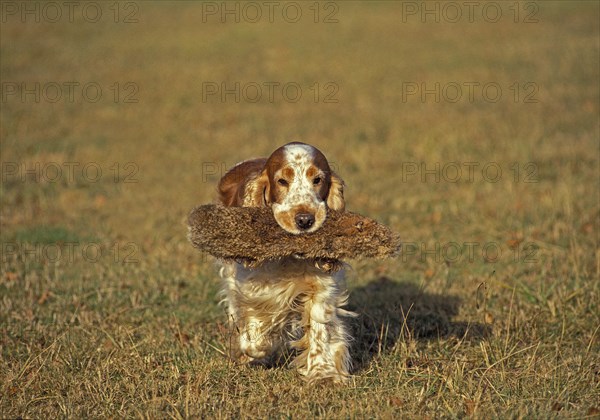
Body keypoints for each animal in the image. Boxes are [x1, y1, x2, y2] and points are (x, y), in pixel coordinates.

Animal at [218, 143, 354, 382]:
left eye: (317, 179)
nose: (305, 220)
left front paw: (323, 374)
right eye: (282, 181)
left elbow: (320, 329)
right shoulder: (250, 287)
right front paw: (259, 347)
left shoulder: (321, 287)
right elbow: (255, 338)